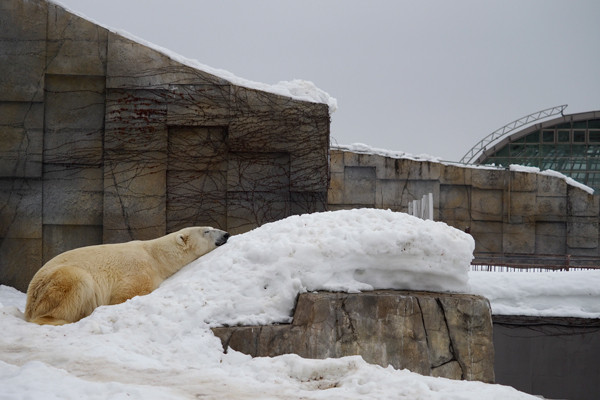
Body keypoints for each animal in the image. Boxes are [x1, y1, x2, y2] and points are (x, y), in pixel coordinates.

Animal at [24, 225, 229, 324]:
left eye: (211, 227)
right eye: (207, 231)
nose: (226, 234)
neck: (156, 255)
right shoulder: (139, 271)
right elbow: (127, 293)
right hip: (58, 280)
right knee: (78, 284)